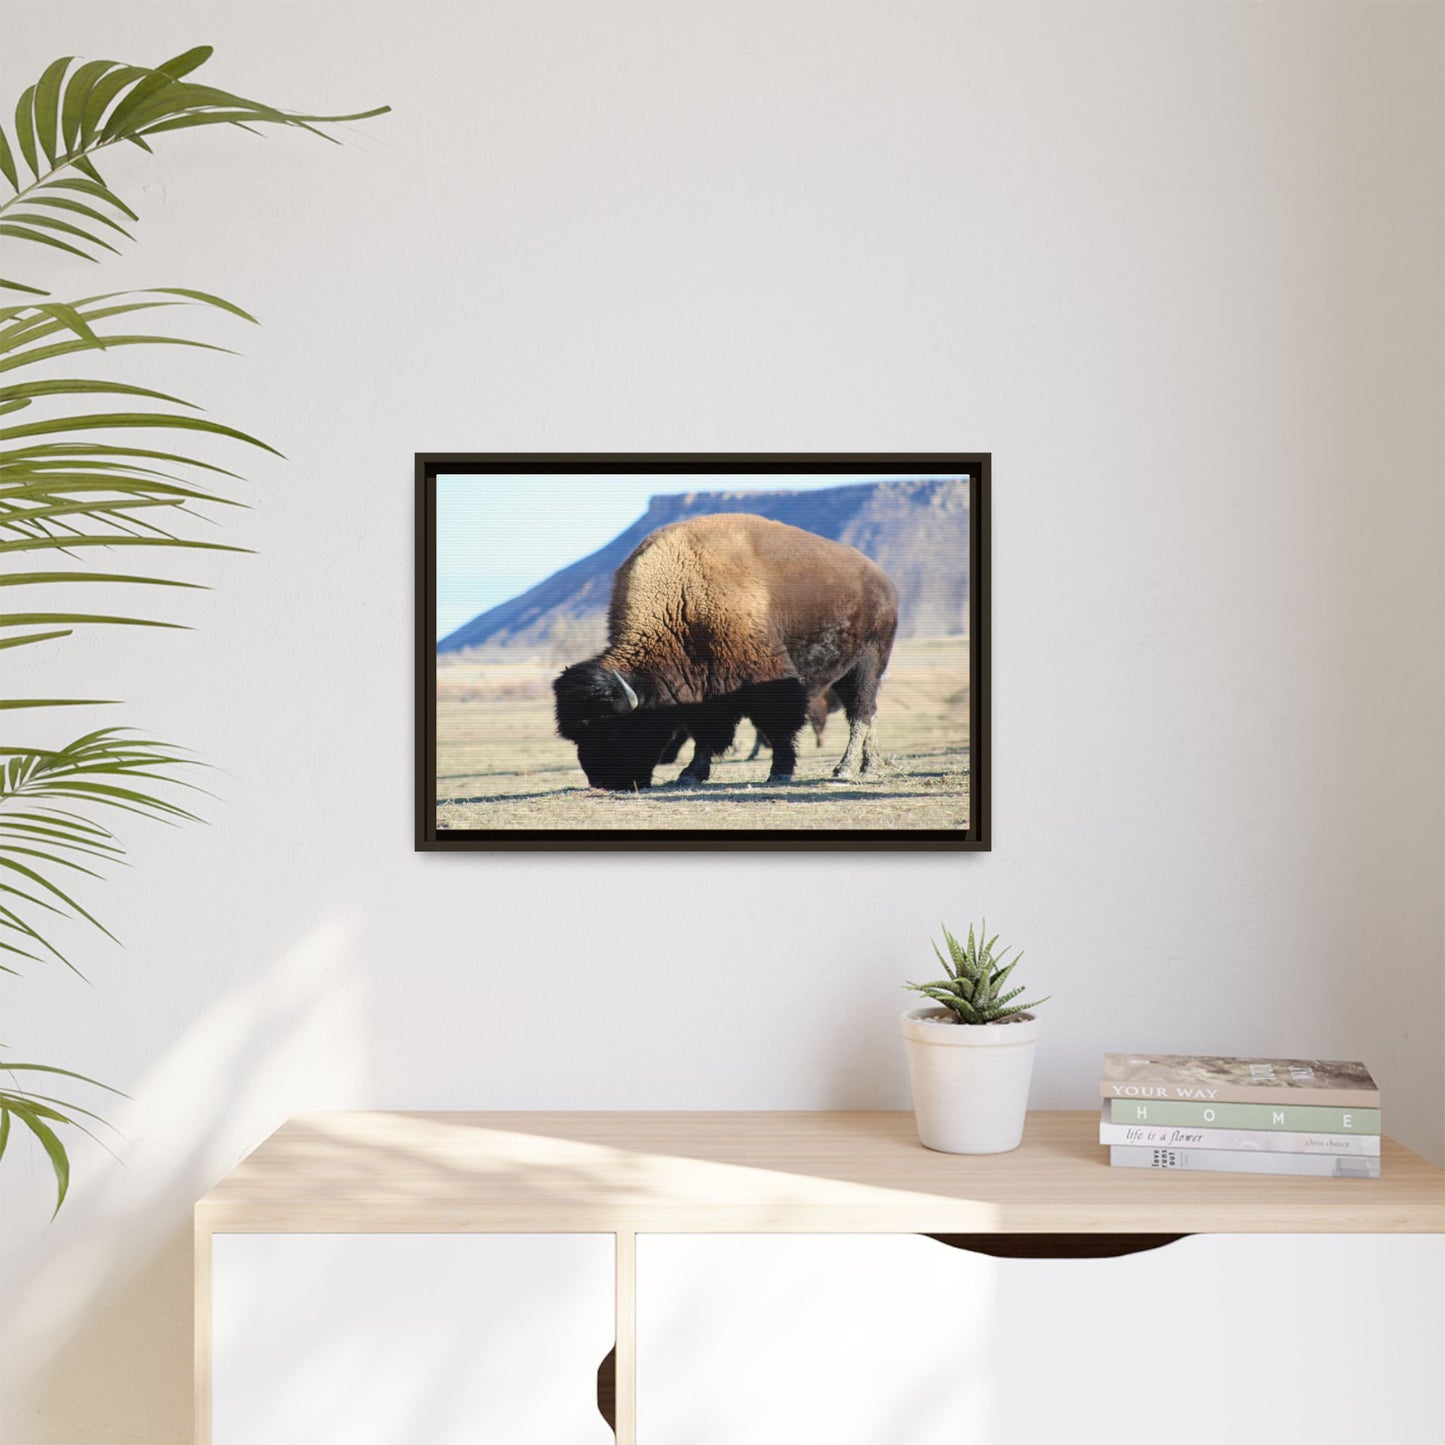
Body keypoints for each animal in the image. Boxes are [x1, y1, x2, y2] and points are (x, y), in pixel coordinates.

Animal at [553, 513, 898, 790]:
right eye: (577, 736)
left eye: (610, 731)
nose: (603, 782)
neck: (681, 600)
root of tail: (882, 579)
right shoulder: (705, 689)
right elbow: (706, 734)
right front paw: (690, 775)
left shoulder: (766, 678)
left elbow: (778, 725)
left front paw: (780, 772)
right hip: (846, 670)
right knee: (866, 713)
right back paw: (870, 765)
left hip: (869, 661)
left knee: (860, 712)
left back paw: (847, 769)